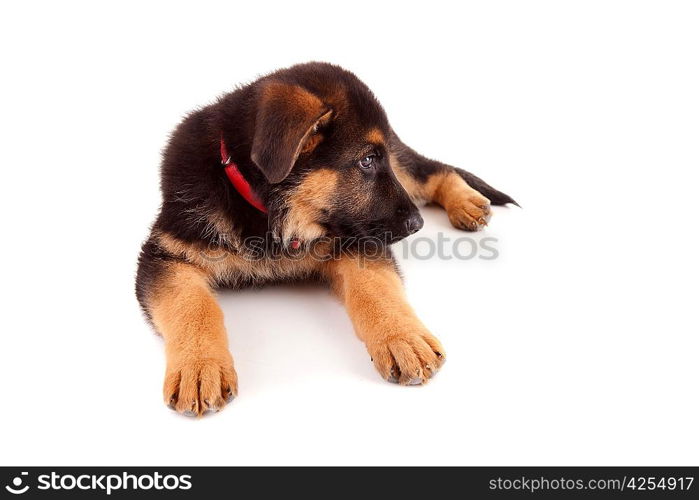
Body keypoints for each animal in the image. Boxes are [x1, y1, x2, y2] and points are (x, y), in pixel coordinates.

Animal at [135, 61, 516, 414]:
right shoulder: (166, 255)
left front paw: (402, 337)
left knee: (434, 169)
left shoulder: (360, 239)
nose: (417, 225)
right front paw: (199, 367)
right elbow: (193, 306)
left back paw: (466, 203)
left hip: (401, 163)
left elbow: (374, 288)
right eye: (366, 161)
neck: (273, 215)